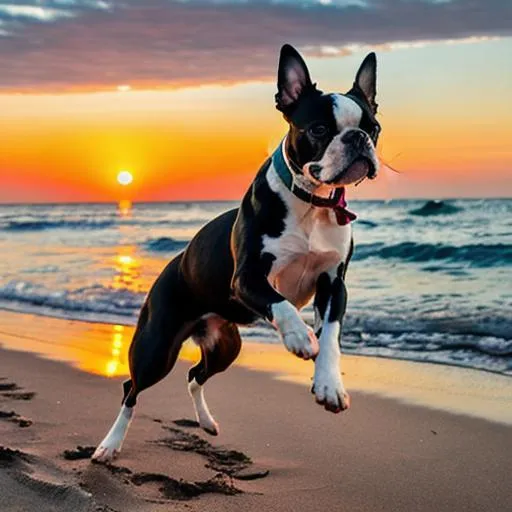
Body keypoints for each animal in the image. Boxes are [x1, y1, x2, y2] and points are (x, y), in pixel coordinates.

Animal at [92, 43, 380, 460]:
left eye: (373, 128)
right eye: (319, 129)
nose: (358, 138)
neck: (313, 203)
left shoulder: (333, 284)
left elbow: (330, 335)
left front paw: (329, 385)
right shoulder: (247, 278)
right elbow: (282, 305)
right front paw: (299, 337)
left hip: (226, 345)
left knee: (194, 375)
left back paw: (207, 423)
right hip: (156, 347)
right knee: (132, 387)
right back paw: (109, 445)